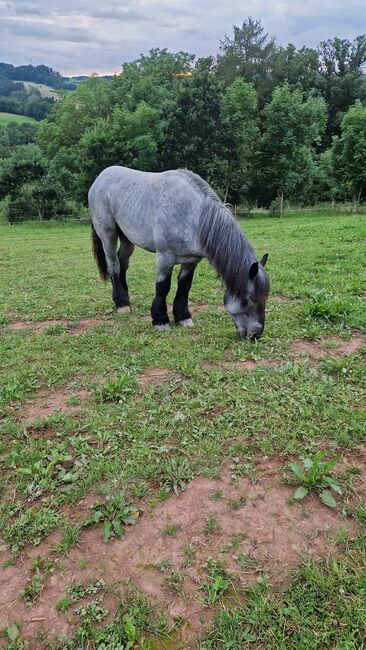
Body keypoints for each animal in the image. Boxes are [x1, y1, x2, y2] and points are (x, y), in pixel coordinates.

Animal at [90, 165, 270, 336]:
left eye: (265, 298)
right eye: (252, 298)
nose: (256, 334)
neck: (192, 215)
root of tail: (100, 177)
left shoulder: (191, 260)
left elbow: (184, 286)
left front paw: (183, 318)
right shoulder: (165, 258)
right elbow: (162, 287)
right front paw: (160, 320)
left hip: (128, 238)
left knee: (123, 263)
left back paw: (126, 299)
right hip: (108, 233)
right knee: (113, 264)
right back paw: (121, 304)